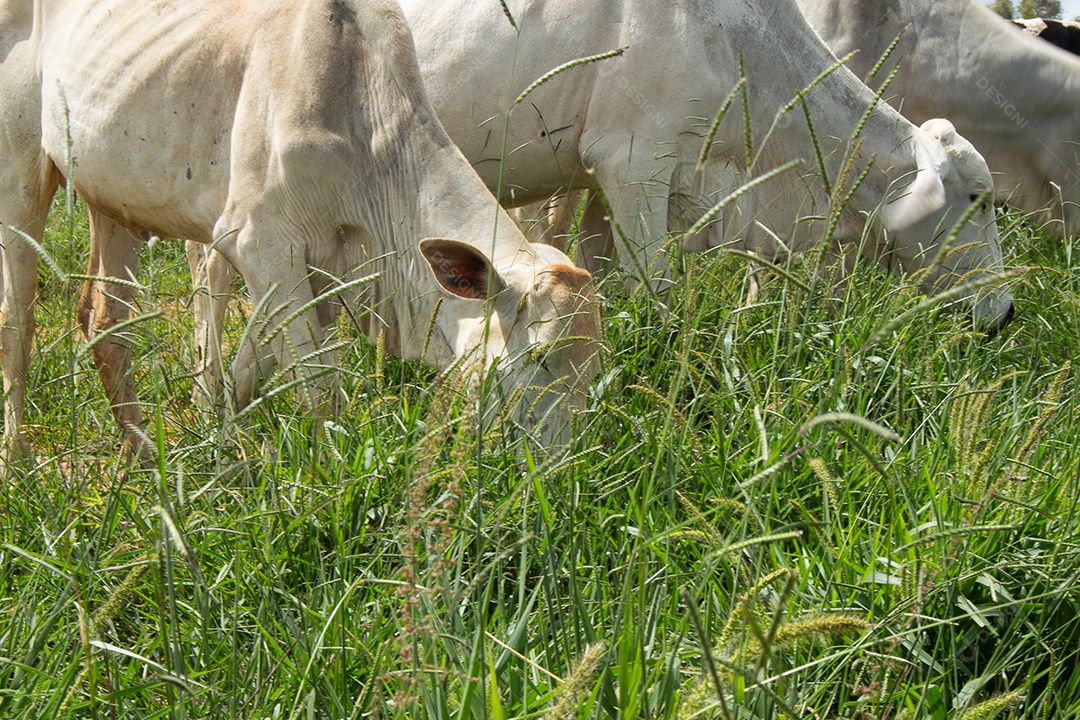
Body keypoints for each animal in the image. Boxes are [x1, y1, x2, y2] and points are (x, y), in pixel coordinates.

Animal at [0, 0, 603, 465]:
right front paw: (324, 477)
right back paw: (19, 458)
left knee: (103, 321)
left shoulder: (327, 270)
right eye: (540, 359)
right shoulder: (260, 245)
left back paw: (145, 455)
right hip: (20, 180)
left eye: (594, 369)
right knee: (17, 322)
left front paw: (225, 456)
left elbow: (247, 371)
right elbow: (319, 389)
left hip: (114, 203)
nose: (559, 470)